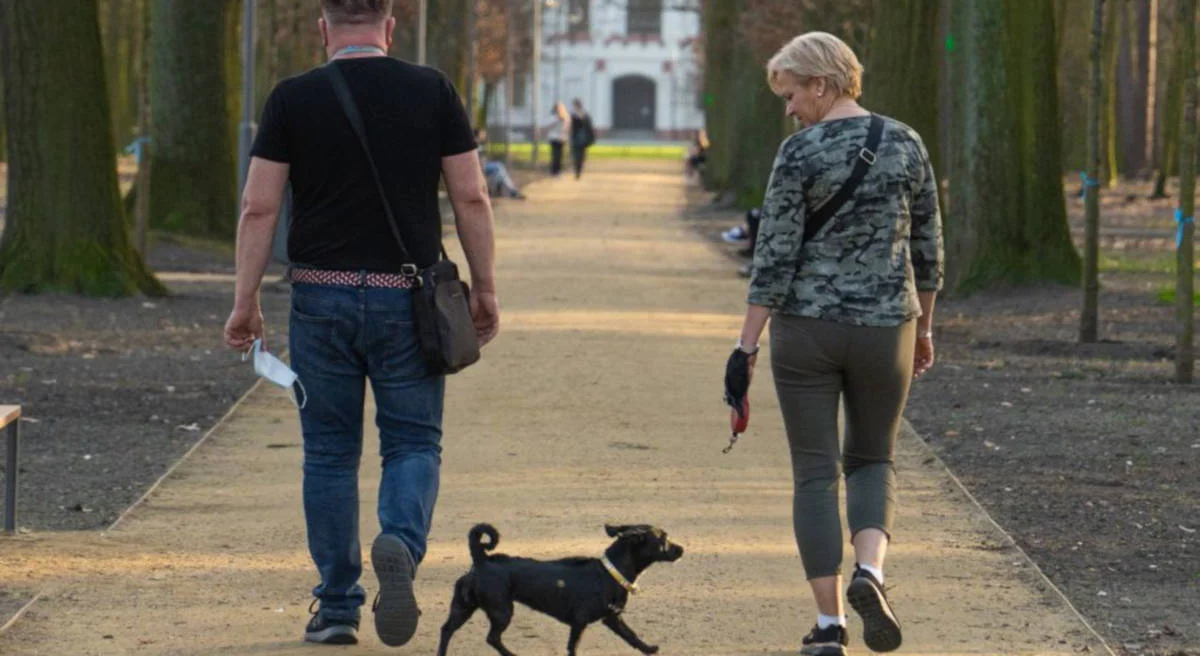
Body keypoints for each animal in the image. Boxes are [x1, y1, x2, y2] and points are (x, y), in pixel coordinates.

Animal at [439, 522, 686, 656]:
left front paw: (649, 648)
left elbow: (632, 636)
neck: (610, 572)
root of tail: (481, 560)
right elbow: (572, 648)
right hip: (501, 610)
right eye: (663, 539)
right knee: (492, 638)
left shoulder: (612, 618)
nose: (682, 549)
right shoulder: (579, 623)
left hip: (463, 607)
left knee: (447, 630)